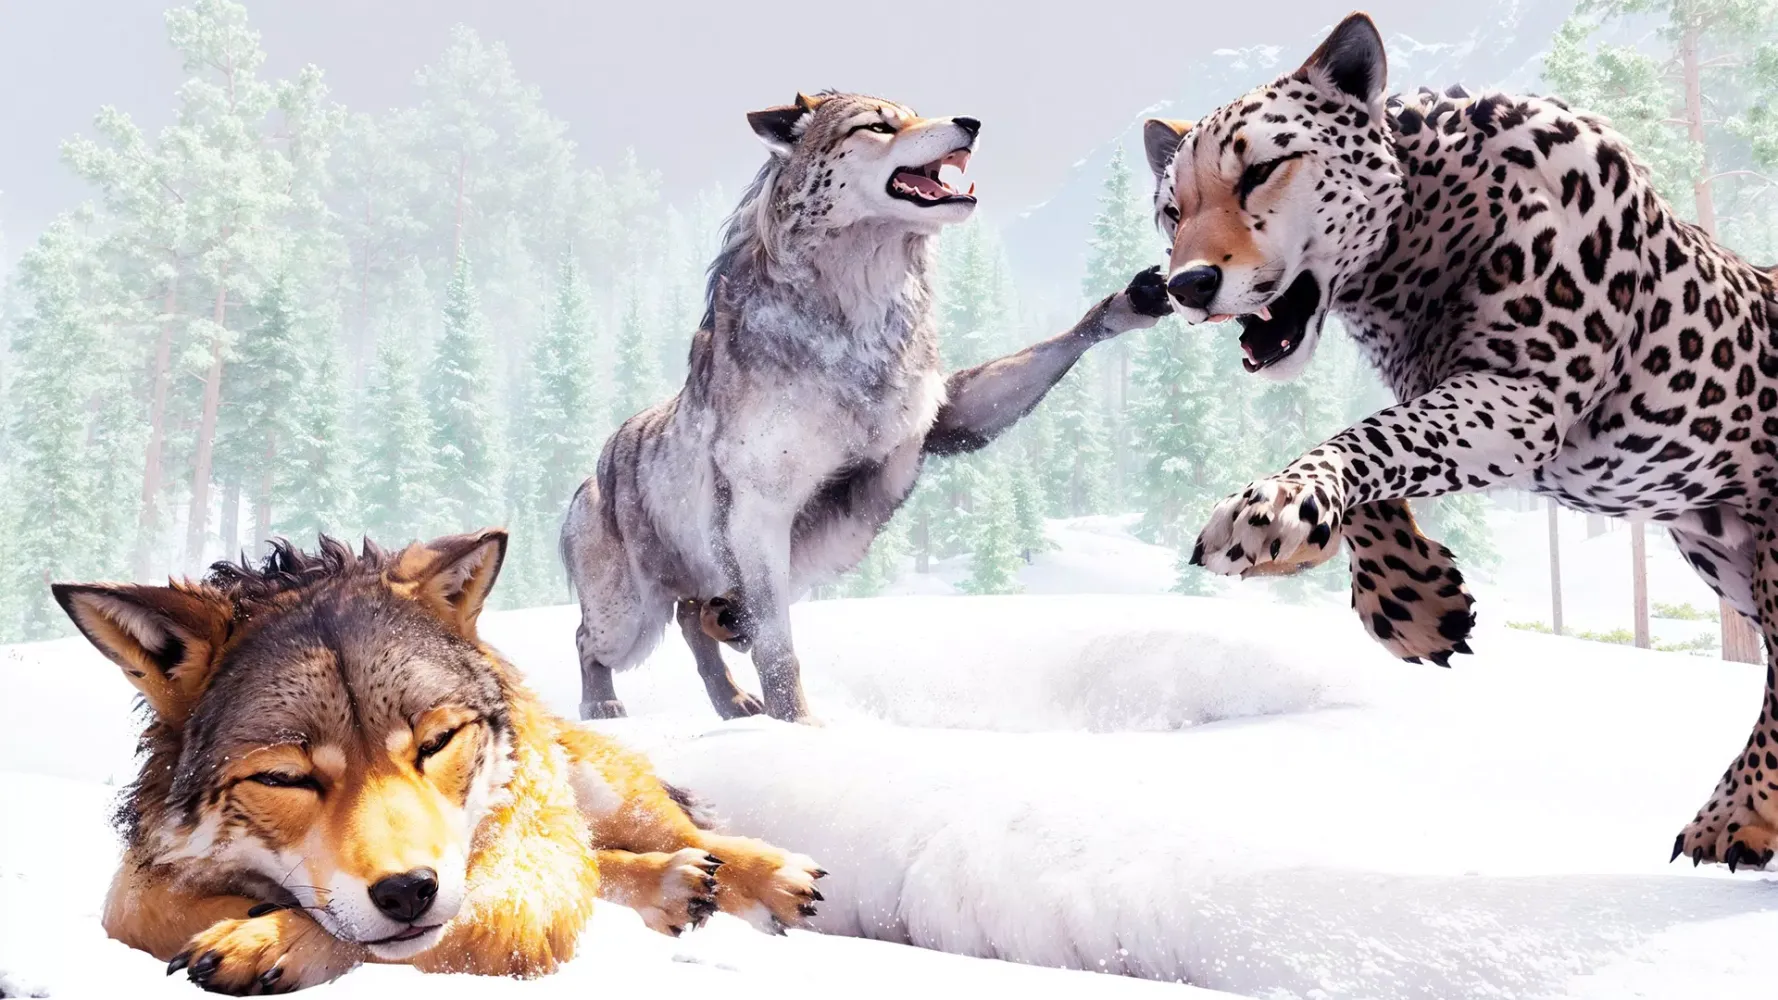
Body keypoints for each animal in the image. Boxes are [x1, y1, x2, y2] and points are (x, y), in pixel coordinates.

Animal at [54, 530, 824, 994]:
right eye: (285, 778)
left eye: (434, 744)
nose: (406, 892)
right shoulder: (132, 894)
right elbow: (163, 914)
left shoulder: (513, 889)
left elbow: (442, 934)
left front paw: (269, 940)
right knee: (608, 862)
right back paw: (674, 887)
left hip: (608, 792)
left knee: (682, 835)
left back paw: (766, 877)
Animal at [562, 91, 1173, 724]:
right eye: (879, 125)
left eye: (913, 112)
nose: (972, 122)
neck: (858, 323)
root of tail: (594, 469)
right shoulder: (761, 509)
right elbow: (778, 646)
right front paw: (799, 727)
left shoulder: (941, 425)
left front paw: (1128, 304)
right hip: (630, 615)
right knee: (589, 638)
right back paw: (603, 705)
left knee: (694, 615)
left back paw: (732, 697)